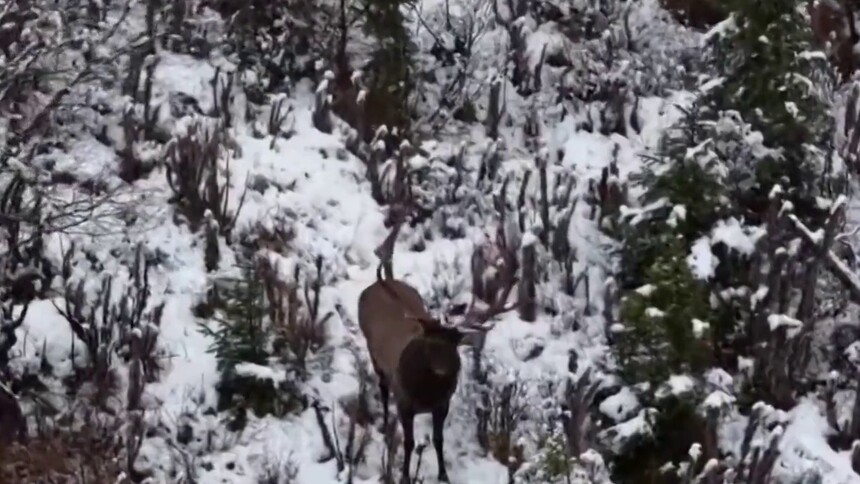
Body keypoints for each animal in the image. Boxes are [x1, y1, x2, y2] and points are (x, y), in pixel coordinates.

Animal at [357, 150, 518, 483]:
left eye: (453, 343)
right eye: (430, 343)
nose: (444, 368)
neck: (426, 393)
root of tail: (379, 284)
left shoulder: (443, 403)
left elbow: (439, 440)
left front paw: (444, 475)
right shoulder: (405, 401)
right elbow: (409, 442)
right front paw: (404, 475)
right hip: (374, 354)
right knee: (381, 388)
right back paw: (385, 422)